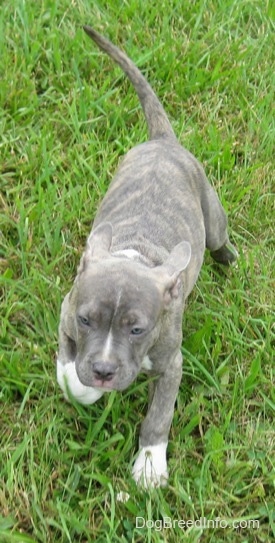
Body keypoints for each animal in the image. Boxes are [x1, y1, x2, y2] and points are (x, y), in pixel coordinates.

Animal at [56, 24, 239, 488]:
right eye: (86, 320)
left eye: (137, 330)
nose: (104, 370)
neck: (133, 255)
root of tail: (163, 141)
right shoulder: (66, 312)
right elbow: (69, 366)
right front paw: (83, 386)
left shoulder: (171, 363)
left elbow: (159, 415)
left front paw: (151, 464)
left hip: (212, 214)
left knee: (218, 240)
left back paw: (229, 259)